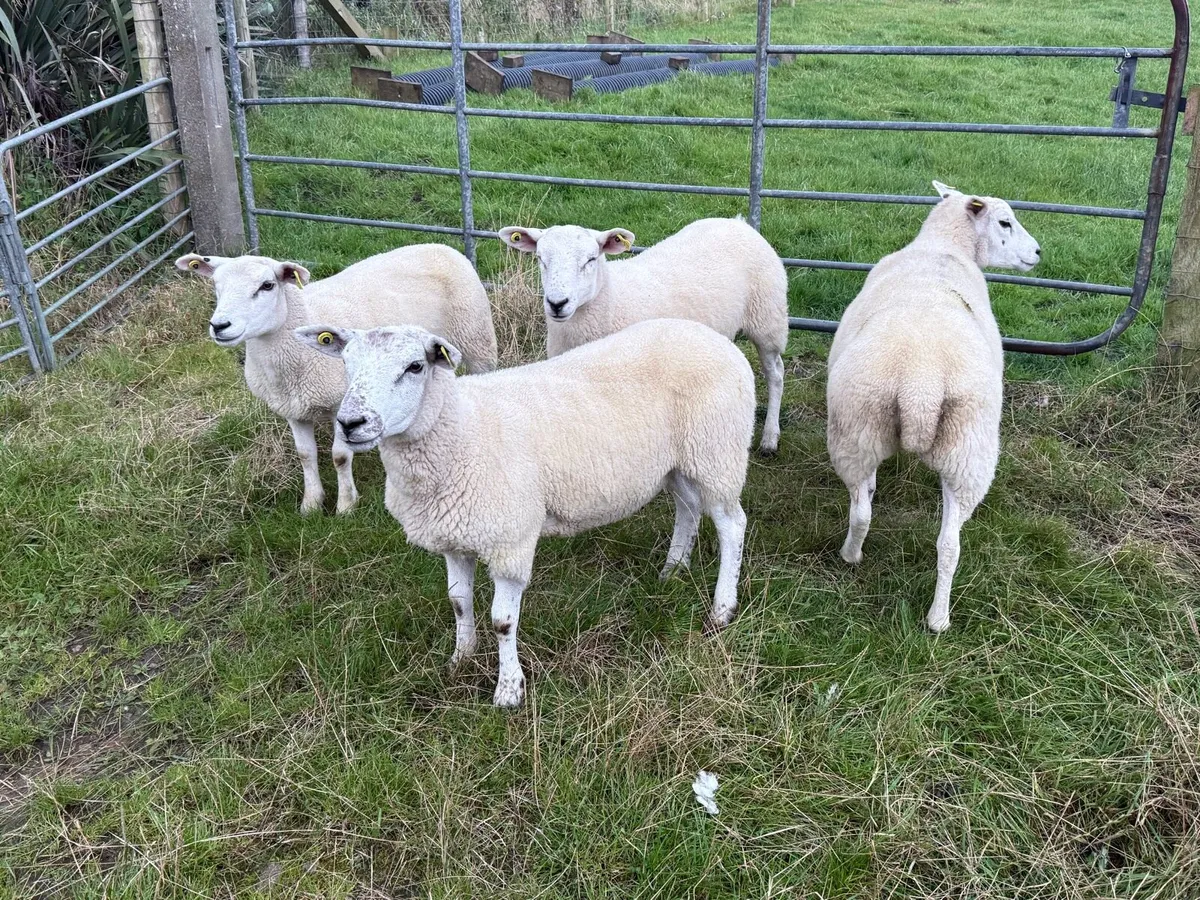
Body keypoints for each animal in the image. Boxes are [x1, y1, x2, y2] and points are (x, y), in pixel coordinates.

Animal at [176, 244, 498, 515]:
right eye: (216, 286)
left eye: (267, 285)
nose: (220, 326)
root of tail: (440, 245)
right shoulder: (292, 408)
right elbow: (305, 455)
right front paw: (311, 504)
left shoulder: (338, 407)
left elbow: (340, 457)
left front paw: (345, 506)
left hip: (477, 340)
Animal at [295, 318, 755, 707]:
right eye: (345, 363)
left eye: (415, 366)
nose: (350, 423)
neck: (461, 431)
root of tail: (711, 337)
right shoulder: (454, 536)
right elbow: (458, 602)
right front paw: (460, 659)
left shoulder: (509, 540)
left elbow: (502, 621)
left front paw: (509, 690)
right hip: (677, 462)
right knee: (688, 507)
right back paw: (672, 570)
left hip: (718, 451)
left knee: (732, 524)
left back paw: (721, 609)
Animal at [496, 217, 790, 454]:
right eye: (540, 259)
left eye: (591, 259)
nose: (557, 303)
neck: (612, 299)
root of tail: (738, 222)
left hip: (768, 319)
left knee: (775, 372)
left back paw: (769, 437)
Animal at [825, 181, 1042, 633]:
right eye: (1005, 222)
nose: (1037, 253)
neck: (943, 247)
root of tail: (920, 385)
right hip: (961, 451)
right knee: (908, 528)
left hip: (871, 431)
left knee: (922, 536)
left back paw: (927, 611)